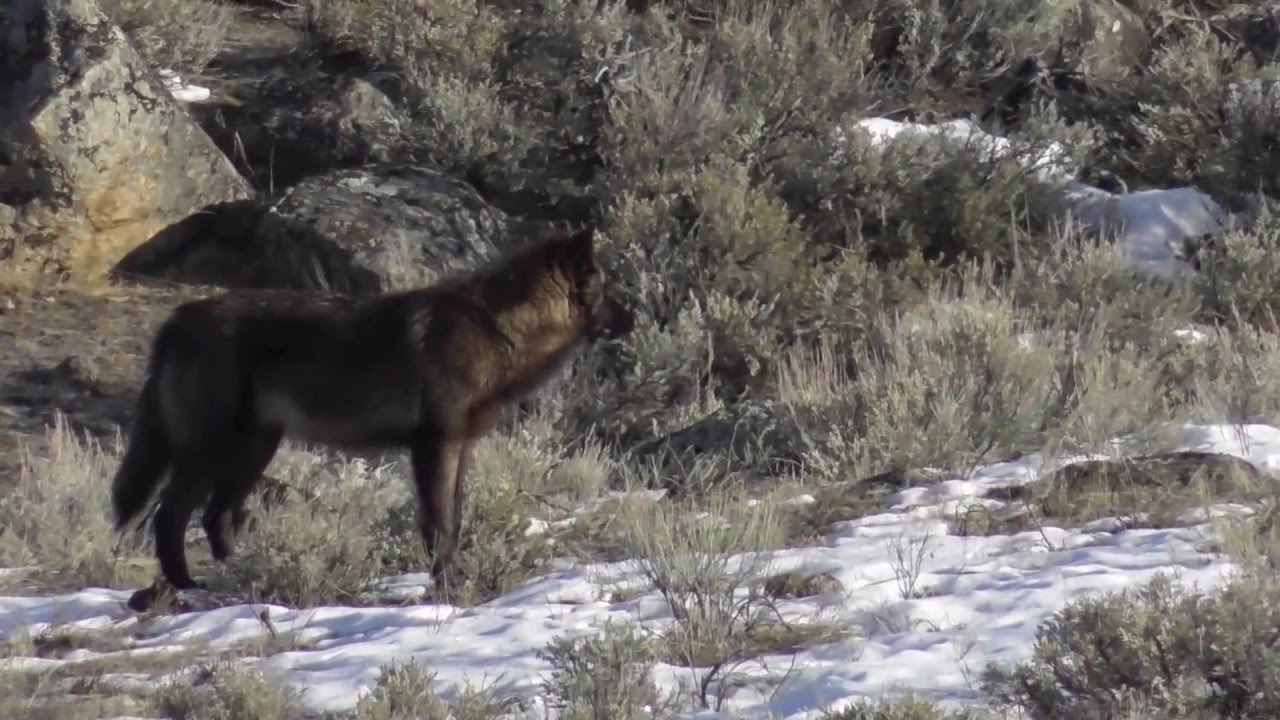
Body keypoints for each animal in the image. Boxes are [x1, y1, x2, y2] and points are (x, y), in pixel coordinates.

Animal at [110, 225, 634, 593]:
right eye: (609, 288)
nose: (632, 319)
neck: (497, 327)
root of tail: (177, 318)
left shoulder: (460, 449)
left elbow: (455, 520)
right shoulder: (435, 447)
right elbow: (438, 526)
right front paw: (447, 587)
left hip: (253, 452)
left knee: (215, 518)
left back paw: (239, 579)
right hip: (211, 452)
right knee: (169, 516)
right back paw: (188, 588)